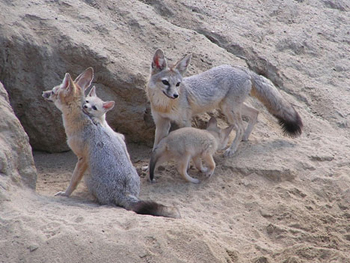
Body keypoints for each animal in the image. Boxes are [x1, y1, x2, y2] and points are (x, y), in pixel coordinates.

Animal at [43, 67, 179, 219]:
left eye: (53, 92)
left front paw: (66, 193)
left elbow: (73, 180)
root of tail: (125, 193)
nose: (44, 93)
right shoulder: (118, 138)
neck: (81, 118)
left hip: (88, 176)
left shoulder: (82, 159)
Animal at [146, 49, 302, 157]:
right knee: (255, 112)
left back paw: (232, 149)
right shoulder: (161, 123)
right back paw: (245, 137)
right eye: (165, 82)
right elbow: (155, 147)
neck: (164, 106)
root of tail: (242, 69)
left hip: (229, 109)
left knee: (240, 127)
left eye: (178, 84)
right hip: (230, 107)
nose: (175, 95)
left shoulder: (185, 122)